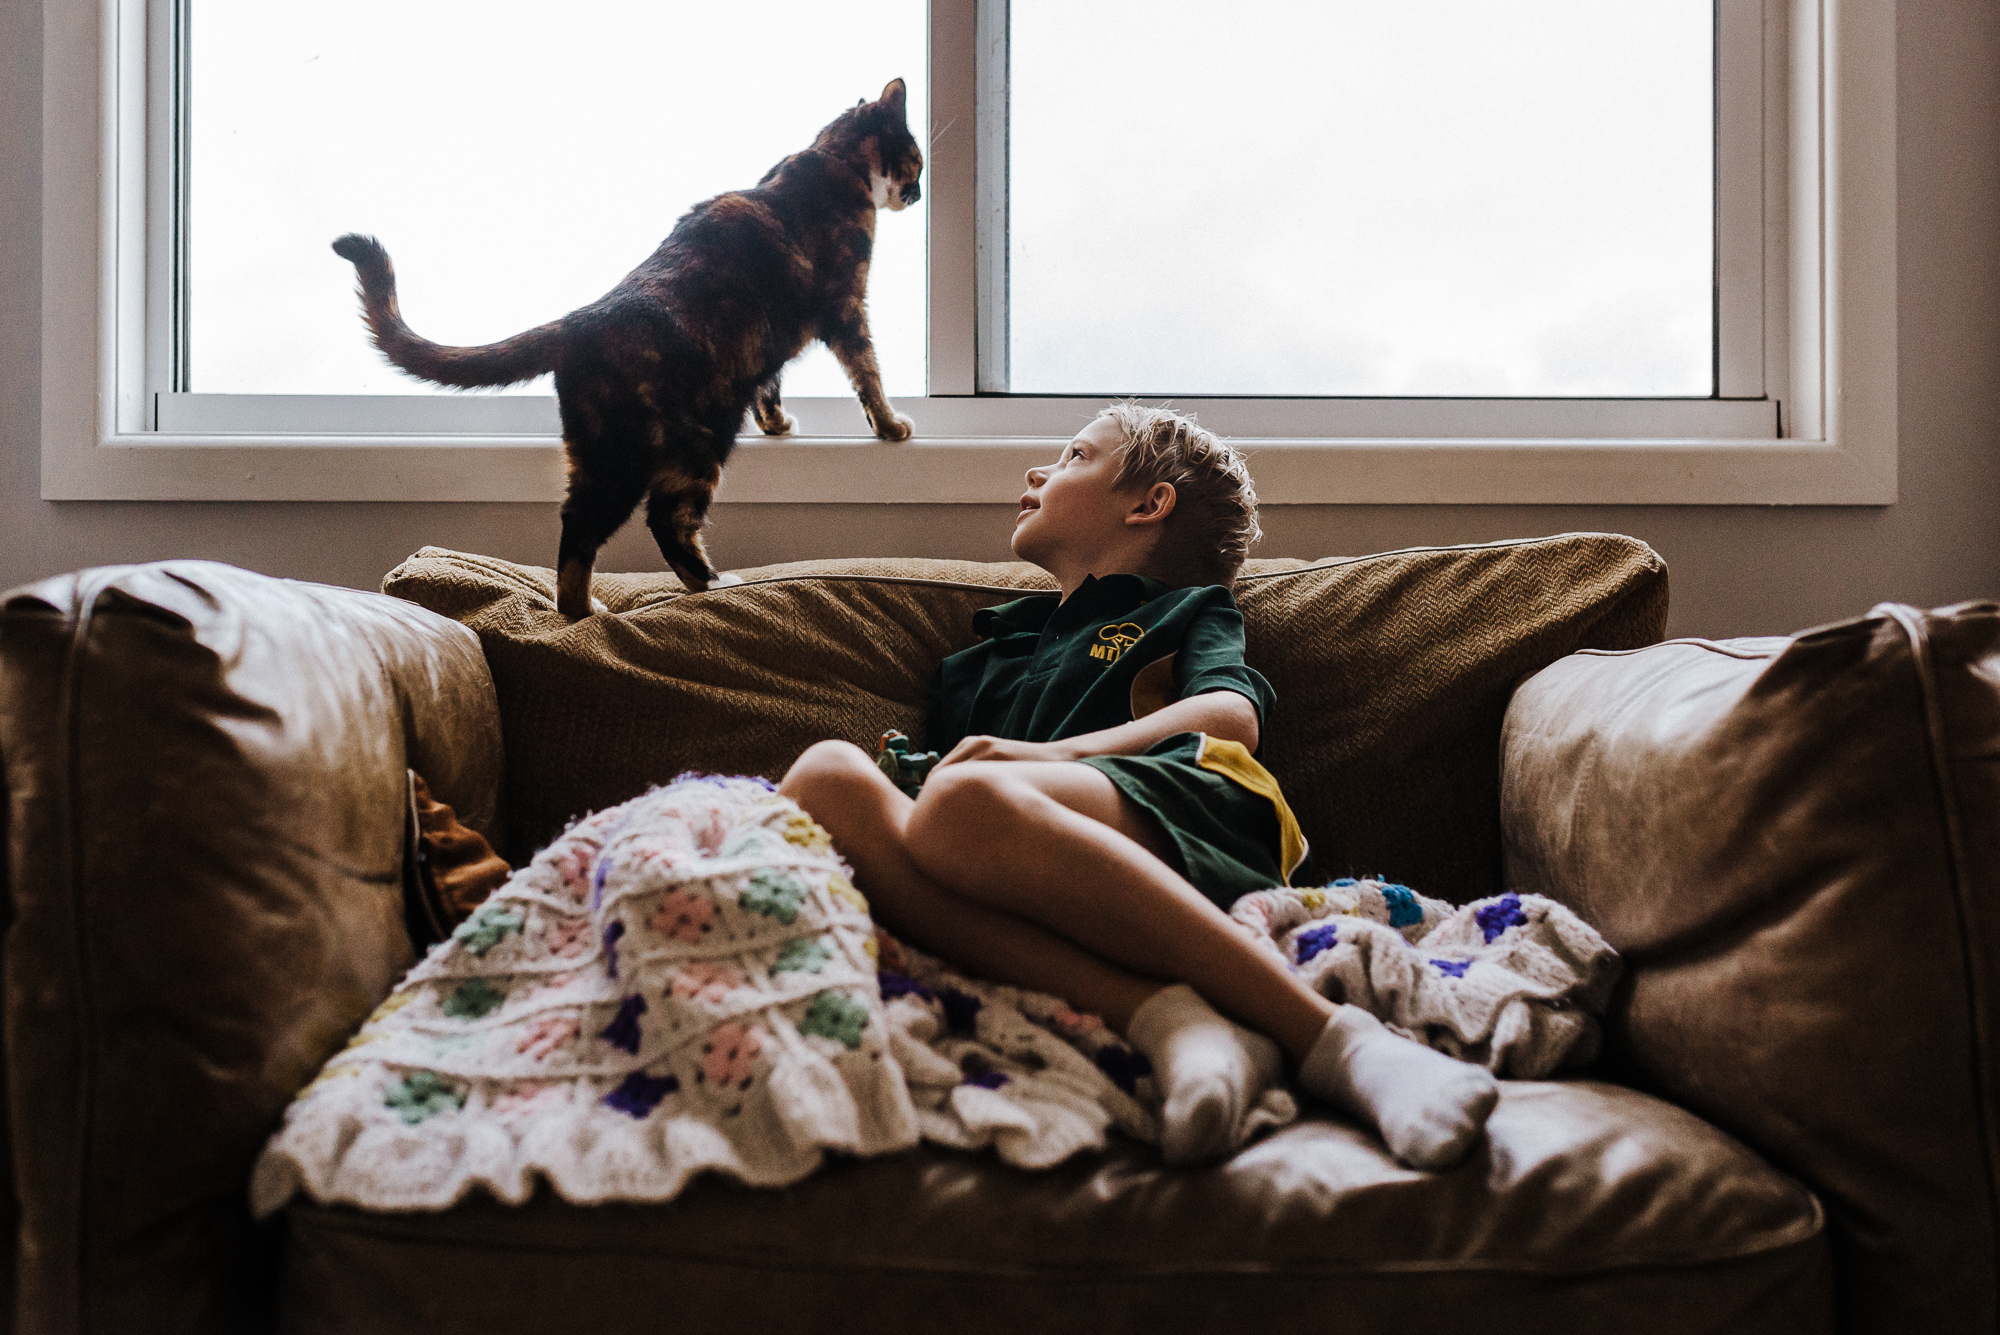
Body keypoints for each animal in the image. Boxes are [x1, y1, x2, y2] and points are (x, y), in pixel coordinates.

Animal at [332, 81, 924, 619]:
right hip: (683, 446)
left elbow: (770, 384)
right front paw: (891, 425)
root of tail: (578, 322)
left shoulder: (768, 346)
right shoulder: (846, 304)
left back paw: (581, 610)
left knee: (576, 525)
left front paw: (777, 425)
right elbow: (867, 370)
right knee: (659, 521)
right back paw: (702, 585)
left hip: (597, 455)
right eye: (916, 159)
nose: (917, 193)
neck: (831, 158)